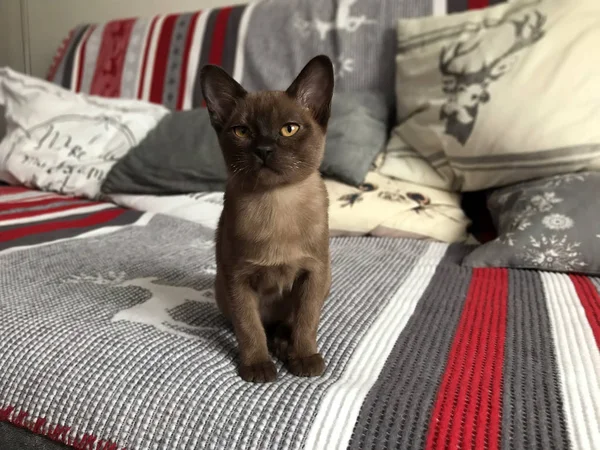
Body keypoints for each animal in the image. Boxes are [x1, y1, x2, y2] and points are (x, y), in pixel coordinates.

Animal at [200, 54, 332, 382]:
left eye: (289, 129)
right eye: (242, 132)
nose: (264, 150)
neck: (276, 201)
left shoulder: (314, 273)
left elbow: (306, 321)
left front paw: (304, 357)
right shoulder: (237, 279)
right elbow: (249, 328)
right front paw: (258, 366)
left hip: (327, 281)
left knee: (288, 322)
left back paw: (285, 345)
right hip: (222, 289)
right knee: (259, 326)